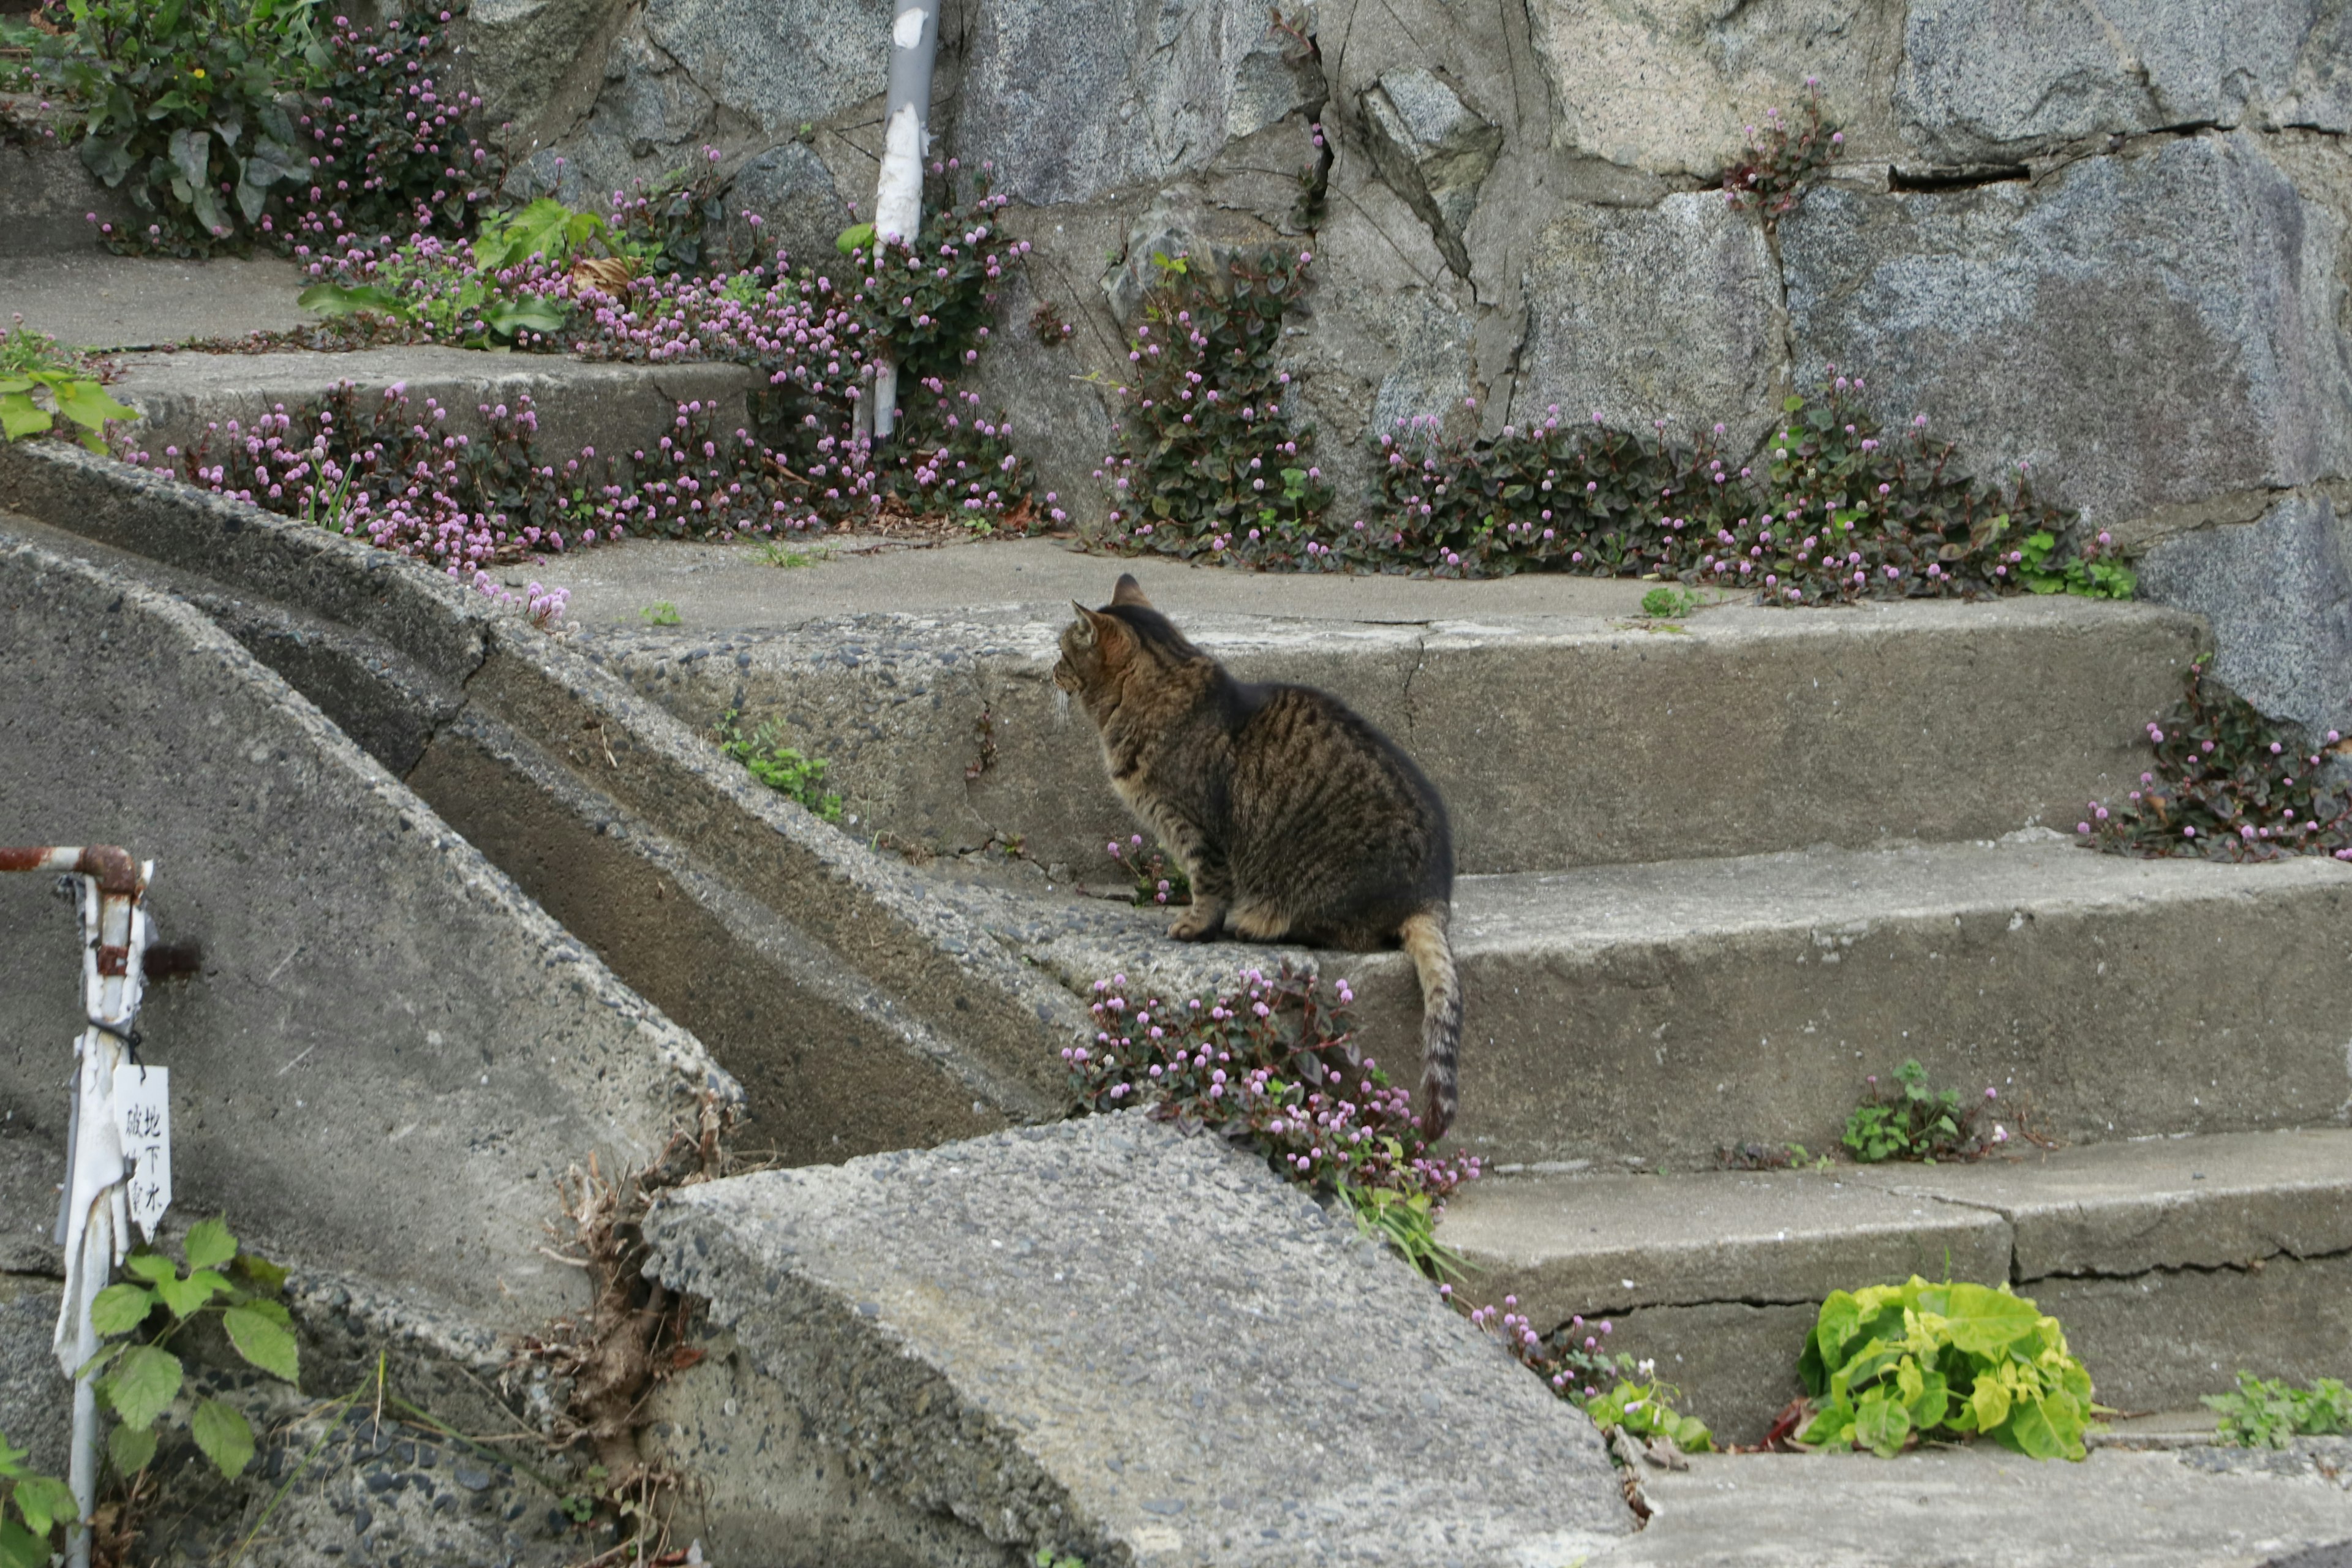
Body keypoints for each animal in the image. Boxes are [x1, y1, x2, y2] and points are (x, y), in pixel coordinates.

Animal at [1058, 576, 1458, 1142]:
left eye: (1062, 652)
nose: (1051, 671)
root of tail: (1431, 896)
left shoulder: (1195, 830)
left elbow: (1206, 885)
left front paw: (1195, 925)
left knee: (1346, 932)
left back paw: (1258, 922)